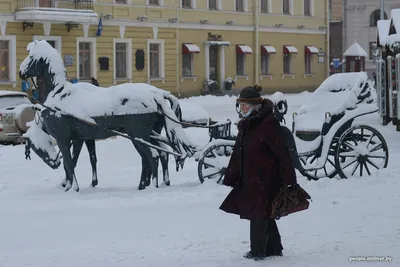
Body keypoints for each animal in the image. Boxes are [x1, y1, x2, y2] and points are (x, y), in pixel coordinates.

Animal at [19, 39, 196, 192]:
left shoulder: (64, 139)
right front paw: (76, 184)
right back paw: (149, 184)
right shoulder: (81, 139)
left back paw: (152, 185)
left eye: (32, 57)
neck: (59, 94)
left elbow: (69, 163)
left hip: (139, 136)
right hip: (148, 135)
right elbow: (81, 161)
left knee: (153, 156)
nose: (21, 72)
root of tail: (156, 96)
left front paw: (71, 188)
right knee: (160, 154)